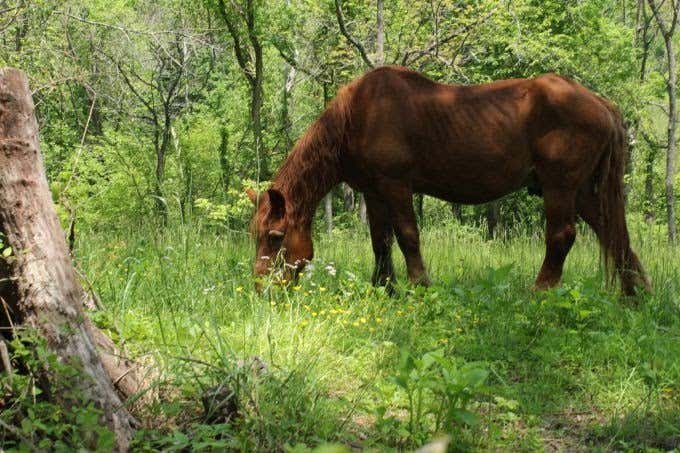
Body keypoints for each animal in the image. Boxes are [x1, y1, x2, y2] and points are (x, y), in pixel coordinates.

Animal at [247, 66, 650, 296]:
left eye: (276, 236)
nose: (261, 289)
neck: (357, 116)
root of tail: (602, 104)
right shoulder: (373, 193)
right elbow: (380, 241)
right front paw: (384, 288)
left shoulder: (396, 185)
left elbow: (407, 236)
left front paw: (420, 285)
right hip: (582, 192)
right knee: (613, 234)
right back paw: (636, 293)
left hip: (560, 187)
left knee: (562, 237)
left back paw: (540, 291)